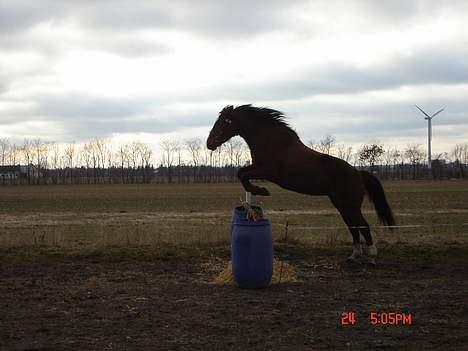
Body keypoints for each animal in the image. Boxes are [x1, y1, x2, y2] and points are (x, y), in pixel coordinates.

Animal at [207, 106, 394, 266]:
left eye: (222, 122)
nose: (209, 143)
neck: (270, 140)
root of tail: (358, 173)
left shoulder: (267, 171)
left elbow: (242, 175)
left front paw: (262, 191)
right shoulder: (258, 168)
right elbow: (241, 173)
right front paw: (259, 191)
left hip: (350, 205)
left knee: (363, 226)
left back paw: (371, 257)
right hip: (341, 205)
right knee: (354, 227)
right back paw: (353, 256)